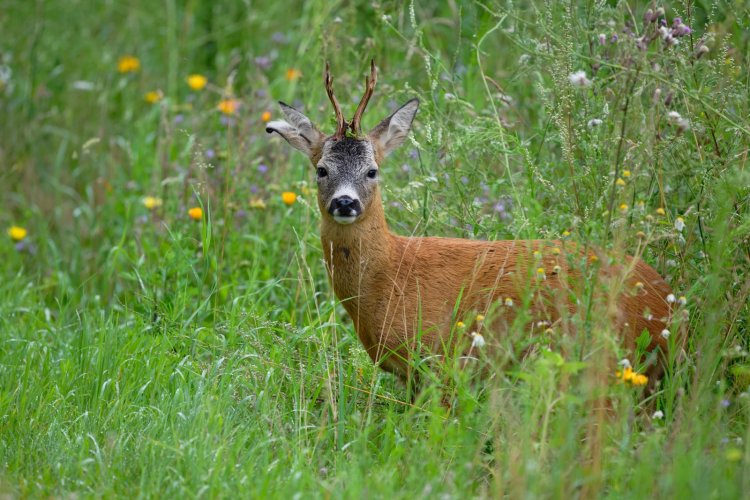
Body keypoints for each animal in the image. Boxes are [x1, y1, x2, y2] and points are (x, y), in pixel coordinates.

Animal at [268, 61, 680, 390]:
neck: (389, 273)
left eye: (372, 171)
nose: (345, 202)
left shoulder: (441, 362)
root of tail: (668, 304)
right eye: (322, 170)